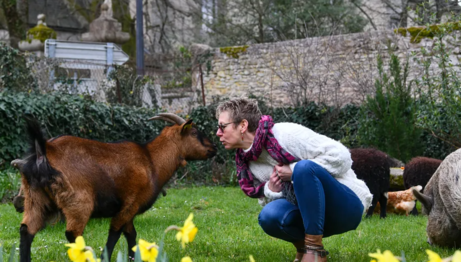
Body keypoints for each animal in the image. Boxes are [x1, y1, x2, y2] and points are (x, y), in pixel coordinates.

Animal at [14, 114, 216, 262]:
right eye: (195, 132)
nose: (213, 149)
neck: (151, 160)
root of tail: (43, 151)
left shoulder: (129, 211)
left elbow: (131, 235)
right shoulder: (130, 204)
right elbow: (115, 233)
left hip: (35, 198)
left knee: (26, 230)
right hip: (78, 201)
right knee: (73, 234)